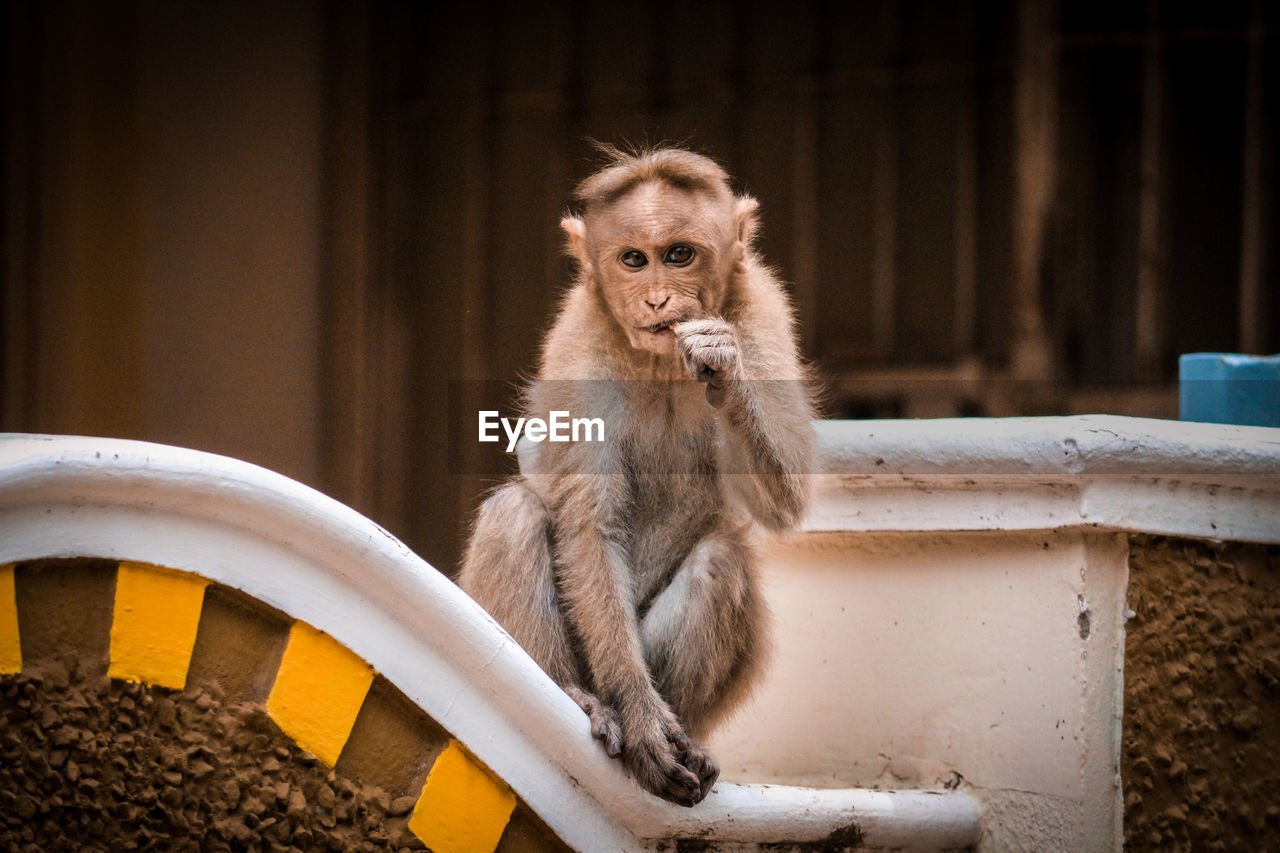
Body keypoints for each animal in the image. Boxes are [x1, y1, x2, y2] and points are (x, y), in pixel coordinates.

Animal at [460, 146, 814, 804]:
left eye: (678, 254)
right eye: (633, 260)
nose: (655, 301)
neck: (660, 363)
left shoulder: (763, 311)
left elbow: (787, 499)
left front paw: (721, 365)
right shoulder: (580, 348)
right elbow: (589, 526)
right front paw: (645, 723)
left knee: (721, 559)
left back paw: (685, 740)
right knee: (516, 513)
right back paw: (585, 699)